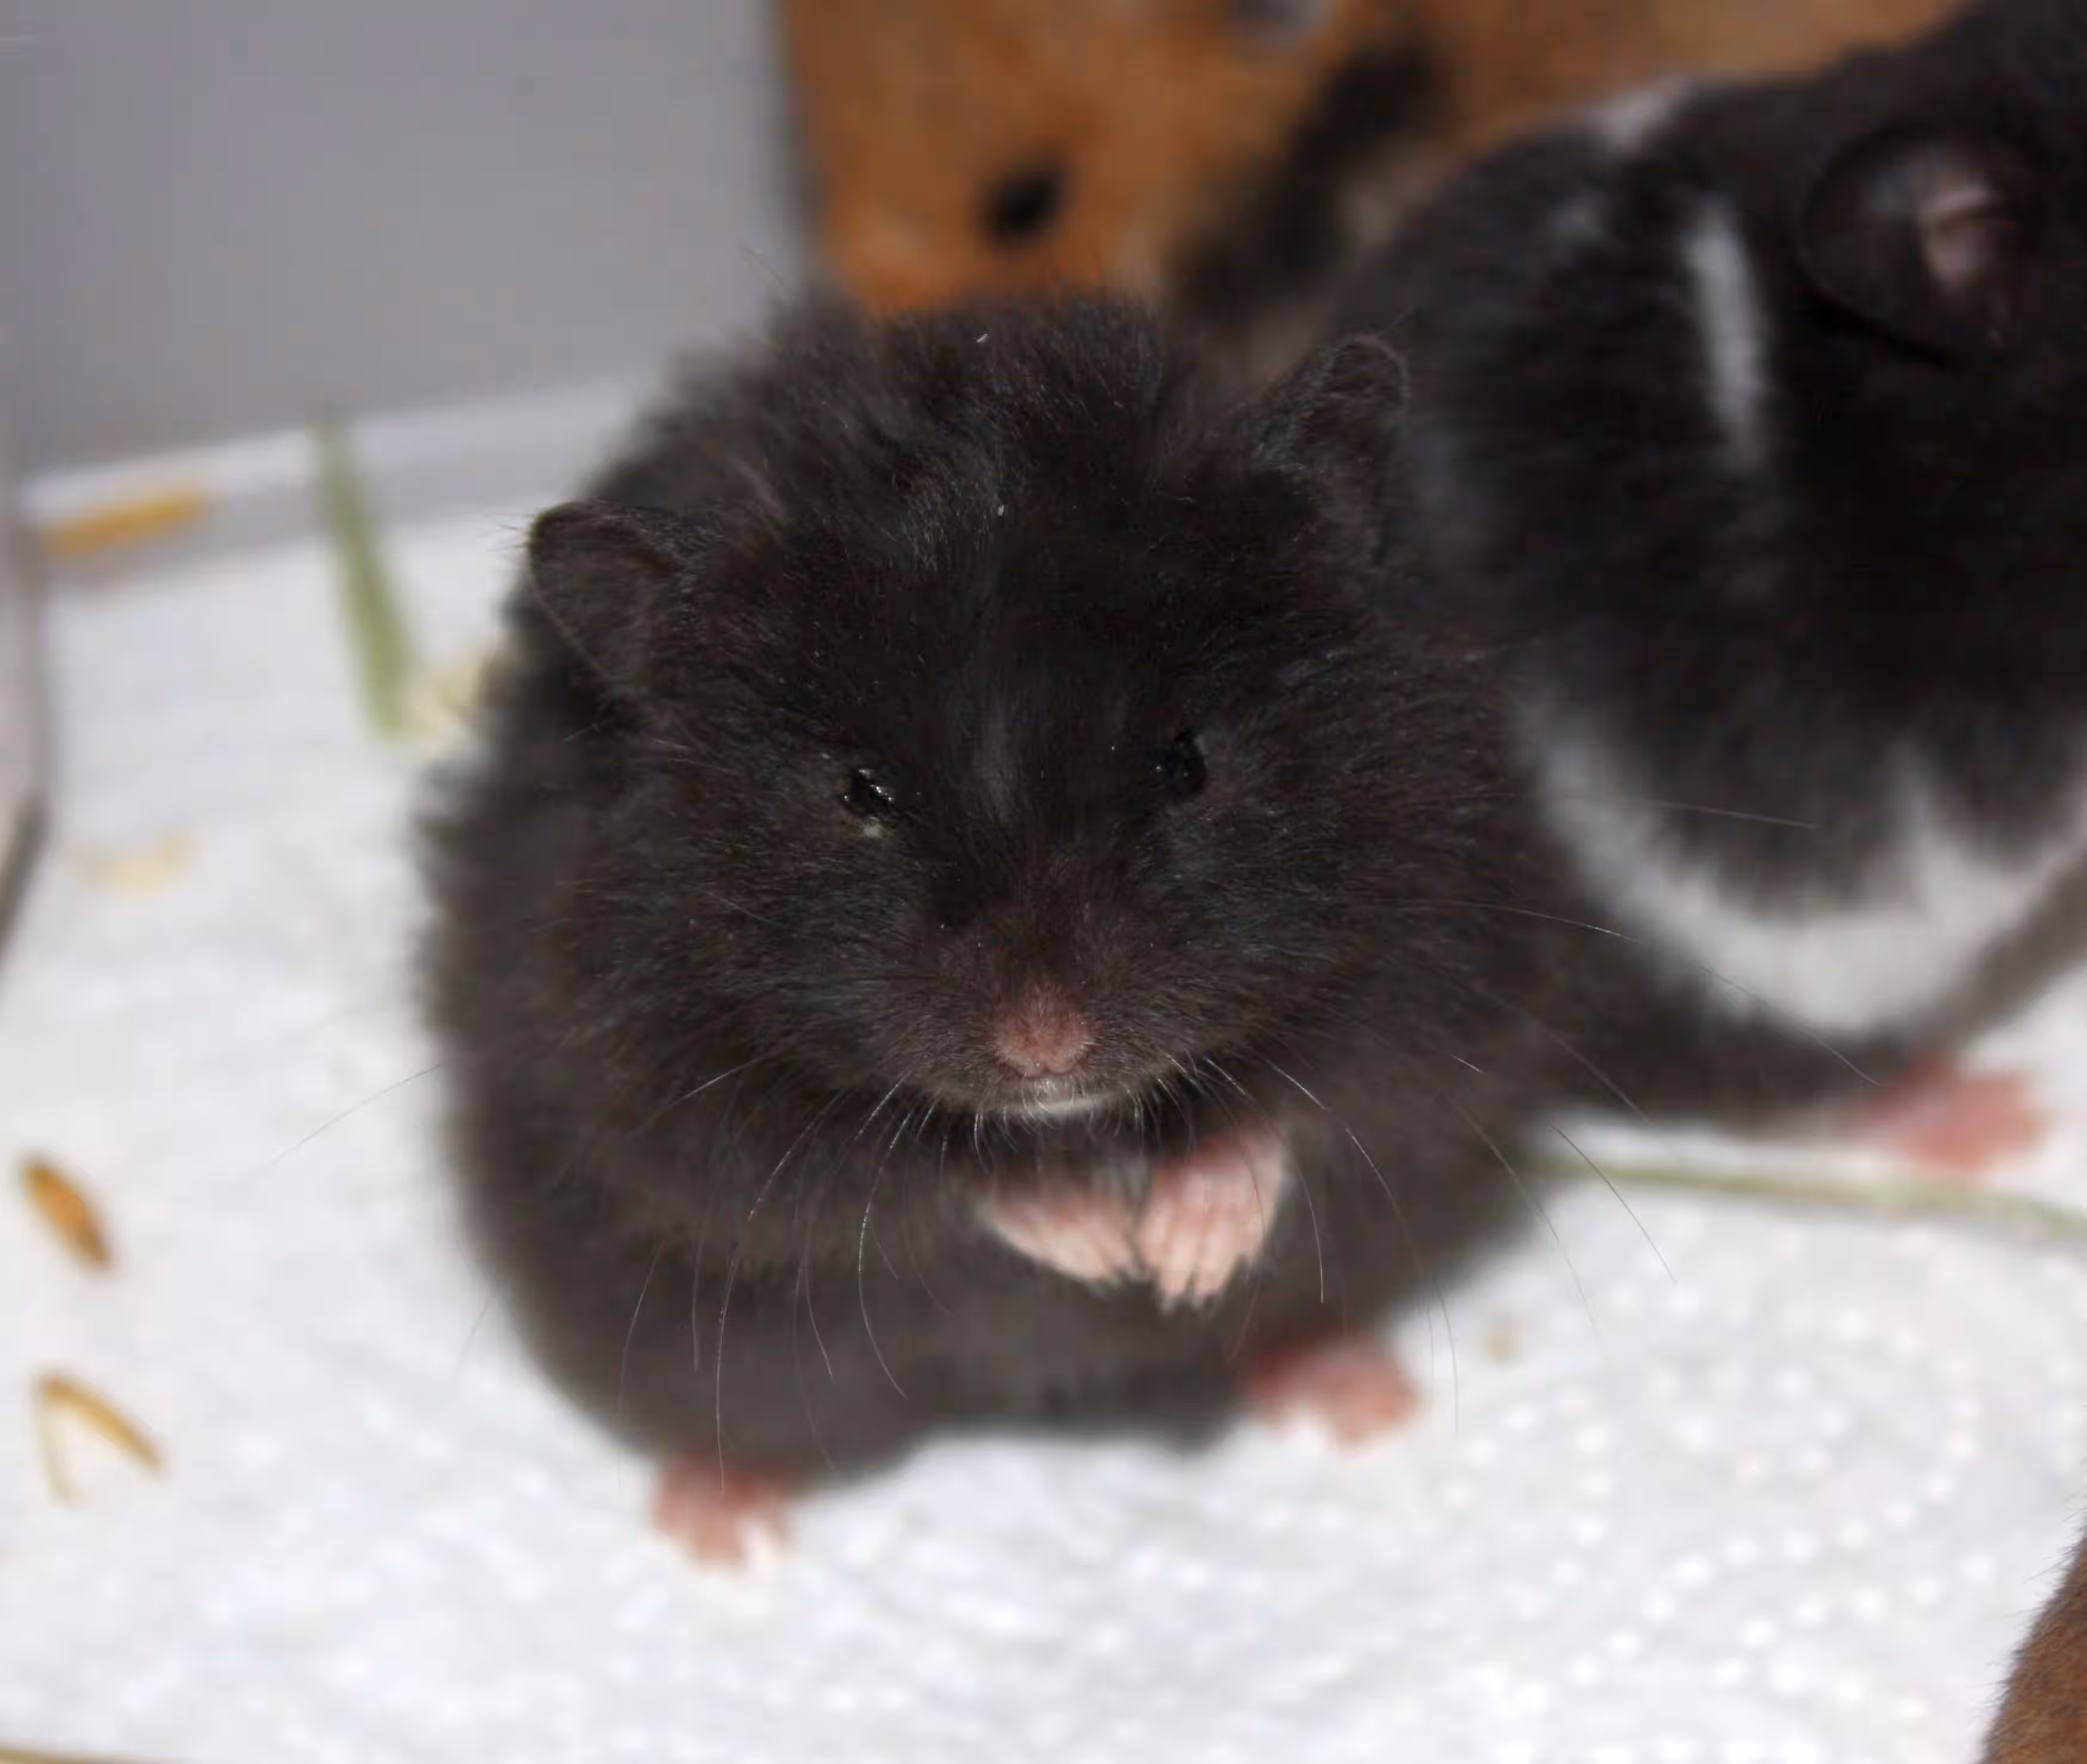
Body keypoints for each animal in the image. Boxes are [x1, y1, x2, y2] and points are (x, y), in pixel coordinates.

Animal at [421, 298, 1570, 1555]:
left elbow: (1303, 1103)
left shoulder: (1436, 954)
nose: (1045, 1045)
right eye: (863, 791)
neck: (1076, 1117)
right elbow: (909, 1172)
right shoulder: (666, 1085)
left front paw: (1178, 1257)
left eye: (1185, 760)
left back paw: (1354, 1391)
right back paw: (720, 1527)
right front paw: (1101, 1245)